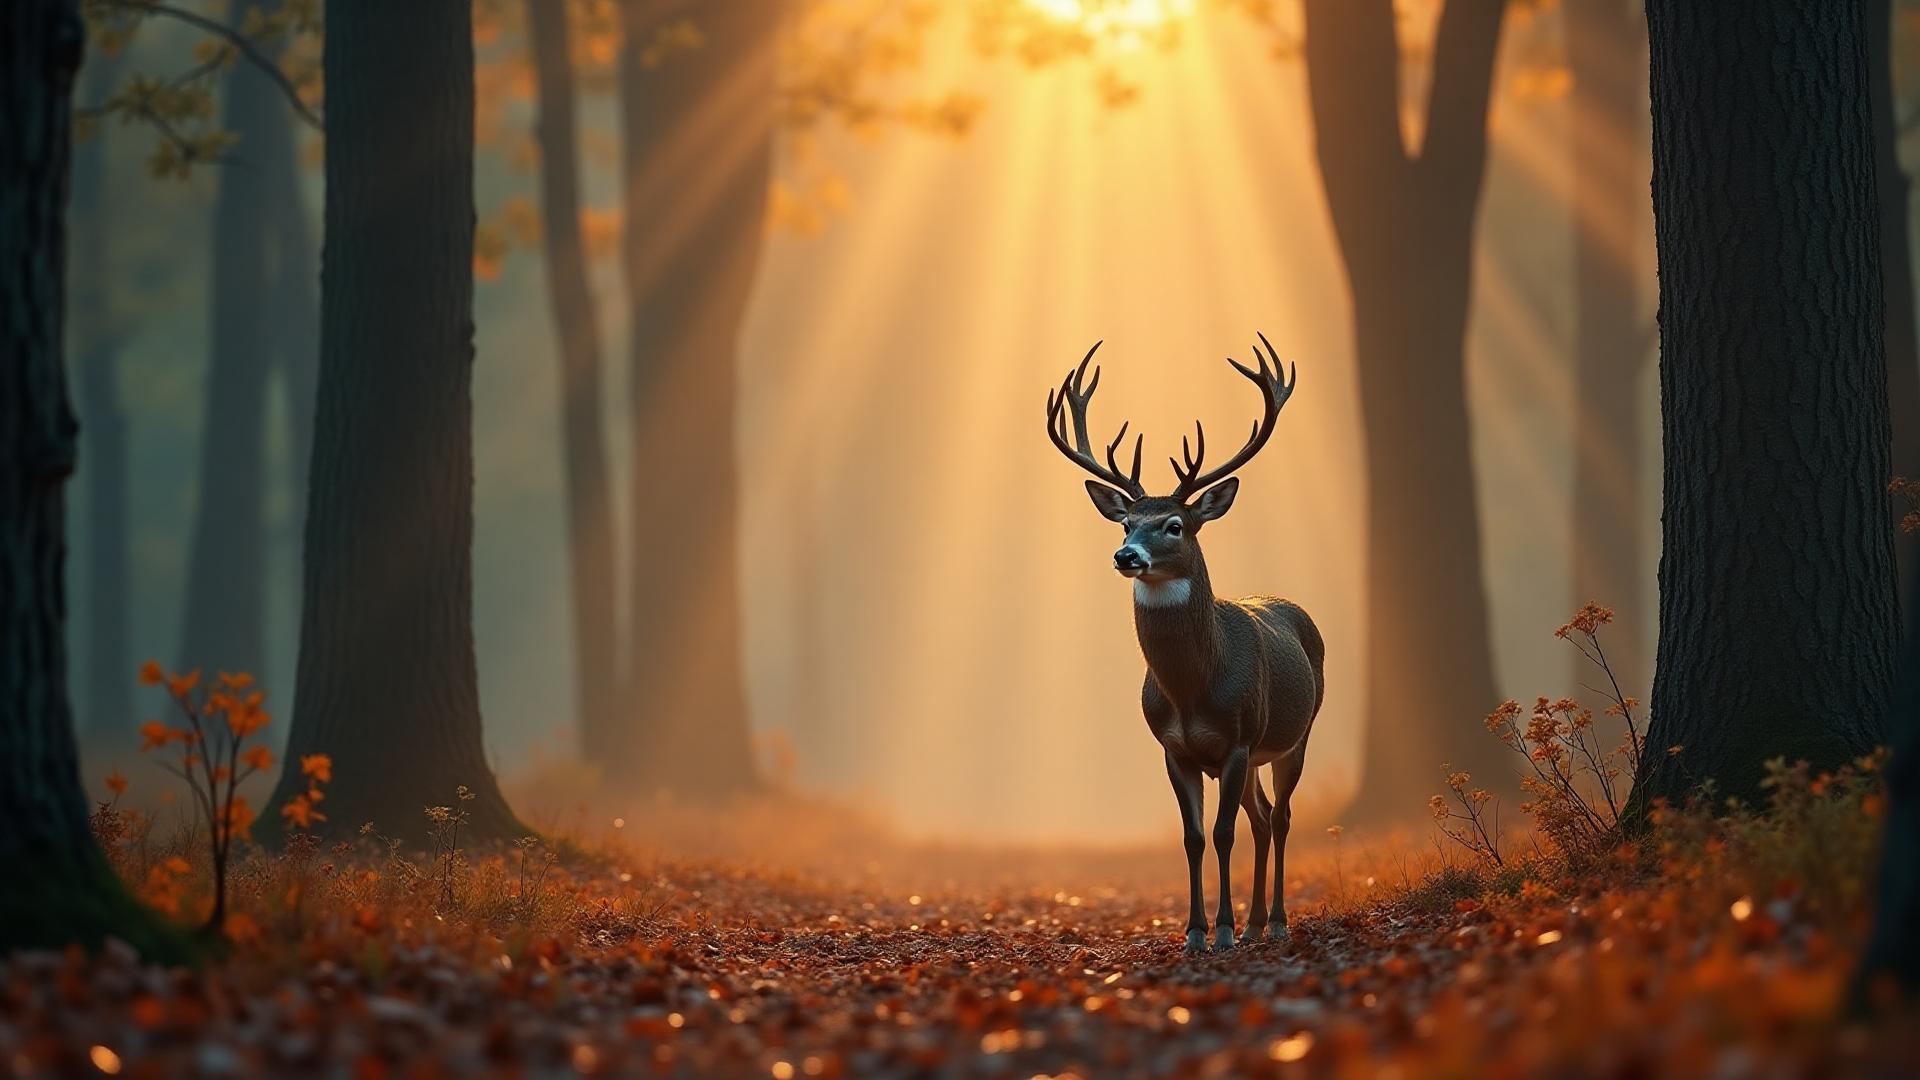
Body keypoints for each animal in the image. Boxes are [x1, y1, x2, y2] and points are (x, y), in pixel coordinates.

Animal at [1045, 334, 1324, 955]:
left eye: (1174, 524)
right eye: (1125, 523)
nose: (1126, 556)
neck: (1194, 690)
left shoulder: (1240, 736)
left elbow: (1221, 834)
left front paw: (1221, 931)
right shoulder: (1174, 748)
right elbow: (1193, 837)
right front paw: (1196, 931)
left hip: (1295, 733)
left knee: (1282, 816)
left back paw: (1274, 921)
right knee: (1262, 818)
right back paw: (1255, 920)